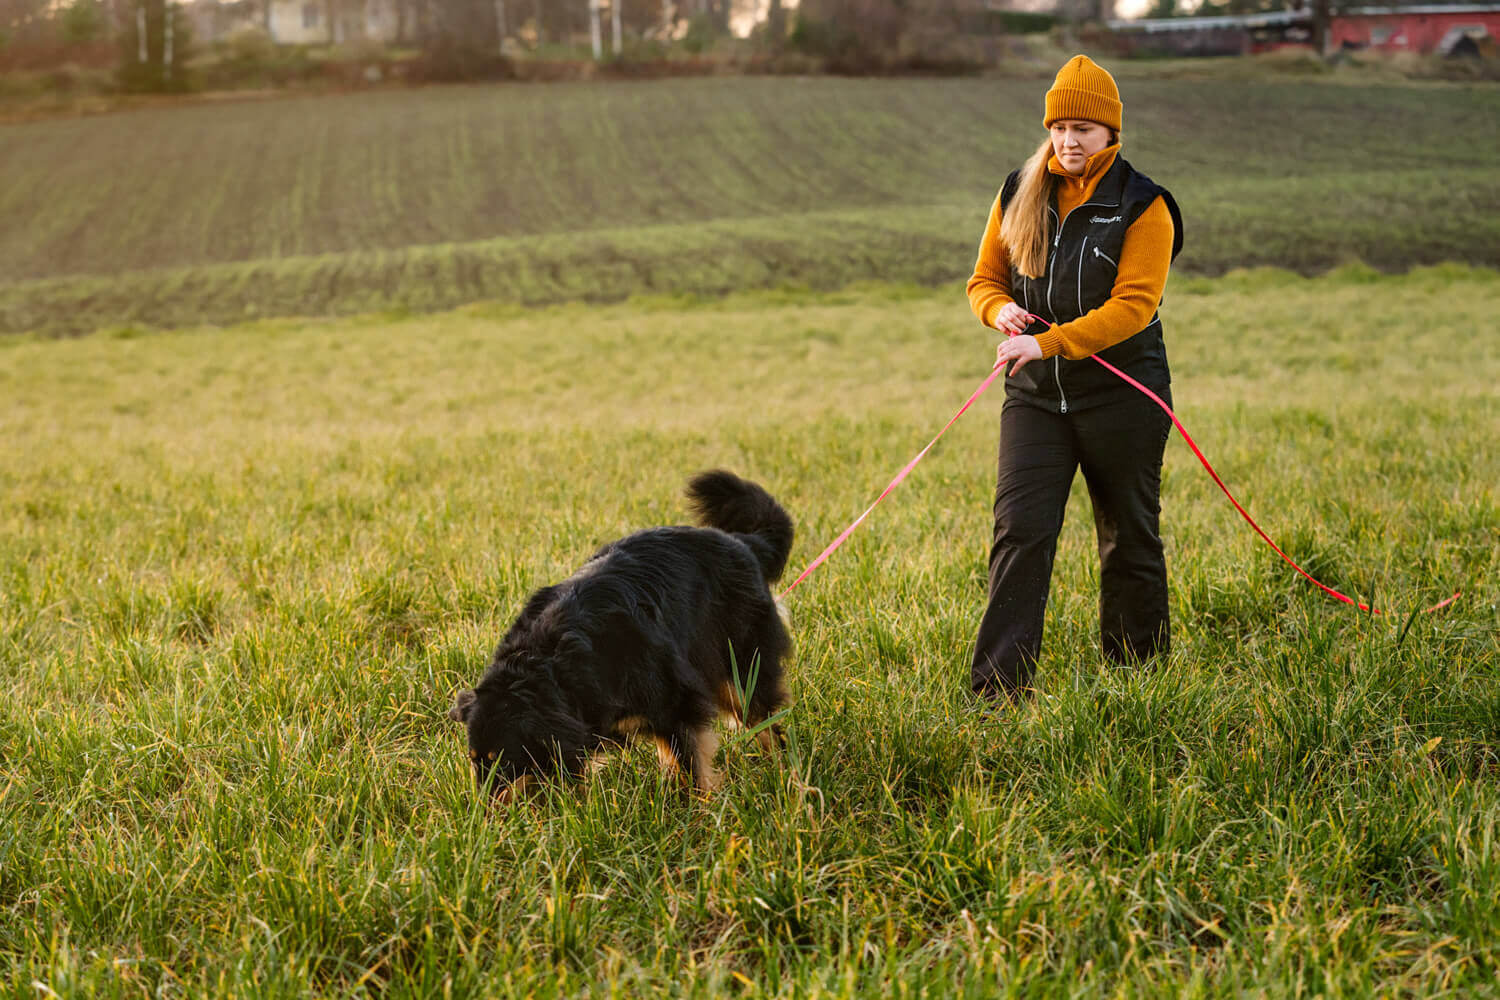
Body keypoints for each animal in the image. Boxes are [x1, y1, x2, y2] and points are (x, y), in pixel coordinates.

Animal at [447, 473, 792, 803]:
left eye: (503, 762)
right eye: (474, 761)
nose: (485, 812)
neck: (551, 661)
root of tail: (744, 543)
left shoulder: (675, 695)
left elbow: (691, 761)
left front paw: (697, 808)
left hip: (739, 655)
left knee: (760, 712)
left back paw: (782, 771)